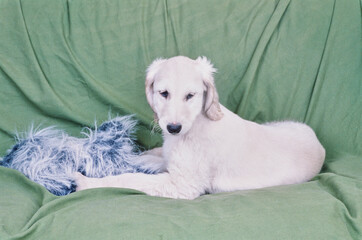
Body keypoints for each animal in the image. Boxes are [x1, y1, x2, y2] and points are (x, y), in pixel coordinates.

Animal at [75, 55, 326, 199]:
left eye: (190, 96)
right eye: (163, 93)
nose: (173, 128)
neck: (195, 124)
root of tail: (321, 146)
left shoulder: (183, 185)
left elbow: (131, 179)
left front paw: (87, 182)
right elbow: (150, 156)